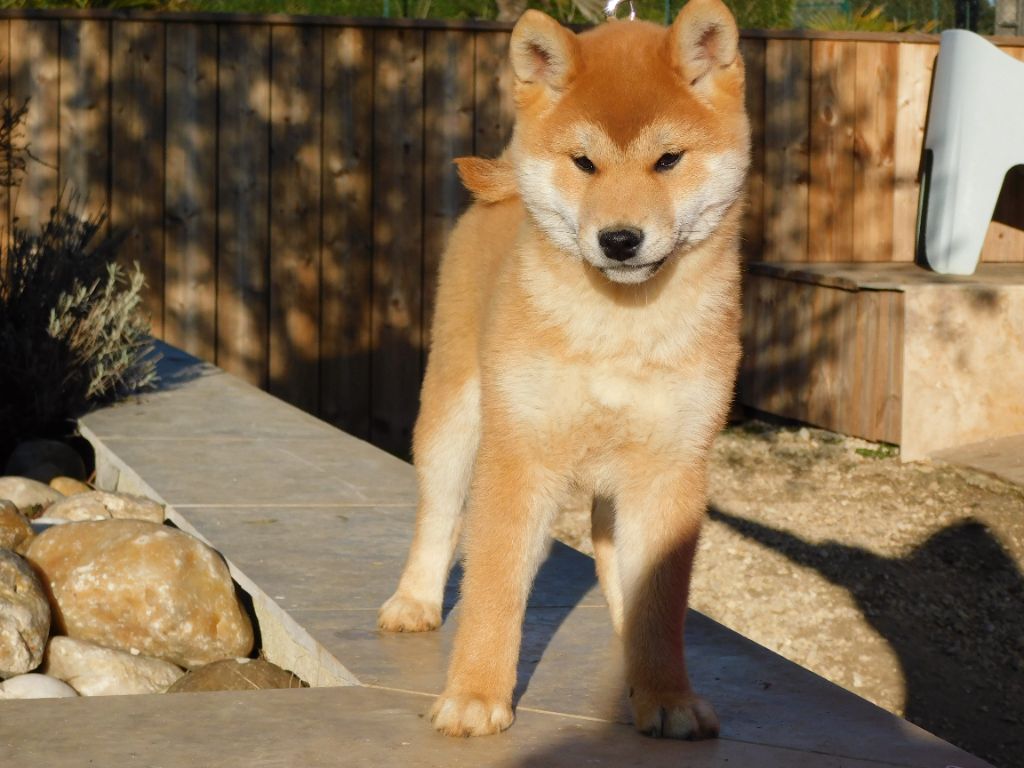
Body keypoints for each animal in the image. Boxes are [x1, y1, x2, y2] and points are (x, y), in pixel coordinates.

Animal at [378, 0, 749, 740]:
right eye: (584, 162)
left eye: (668, 160)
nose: (620, 239)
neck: (619, 328)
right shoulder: (518, 452)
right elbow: (492, 588)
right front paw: (475, 695)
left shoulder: (673, 463)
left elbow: (661, 598)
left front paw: (665, 695)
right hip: (453, 418)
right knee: (438, 515)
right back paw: (415, 600)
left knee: (610, 549)